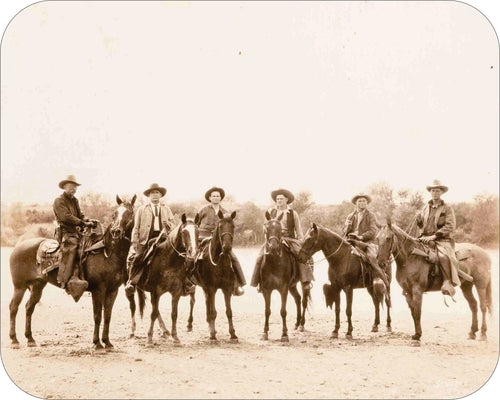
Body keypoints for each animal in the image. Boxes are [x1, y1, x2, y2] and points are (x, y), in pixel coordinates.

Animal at [10, 195, 137, 350]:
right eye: (114, 214)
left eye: (130, 213)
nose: (116, 232)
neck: (108, 253)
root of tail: (17, 247)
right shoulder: (98, 290)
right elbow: (97, 316)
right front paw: (97, 343)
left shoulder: (113, 290)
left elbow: (107, 316)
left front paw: (107, 342)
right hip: (19, 287)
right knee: (13, 308)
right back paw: (14, 340)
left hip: (37, 286)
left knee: (29, 307)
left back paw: (30, 339)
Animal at [126, 212, 200, 346]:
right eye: (184, 232)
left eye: (197, 231)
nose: (193, 254)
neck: (170, 261)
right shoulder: (156, 291)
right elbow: (153, 314)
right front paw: (149, 338)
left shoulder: (176, 292)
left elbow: (173, 314)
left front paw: (175, 337)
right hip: (130, 287)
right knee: (133, 306)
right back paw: (132, 331)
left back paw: (165, 331)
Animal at [194, 211, 241, 342]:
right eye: (220, 226)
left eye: (233, 226)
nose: (227, 247)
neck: (220, 262)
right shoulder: (212, 288)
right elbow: (213, 312)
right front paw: (213, 336)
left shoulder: (227, 289)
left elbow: (229, 311)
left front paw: (233, 334)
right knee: (209, 308)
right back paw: (211, 330)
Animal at [260, 211, 310, 342]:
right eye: (267, 228)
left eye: (279, 230)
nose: (273, 247)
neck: (274, 263)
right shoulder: (266, 289)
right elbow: (267, 311)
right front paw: (265, 333)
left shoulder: (283, 288)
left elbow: (283, 311)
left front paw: (284, 335)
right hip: (292, 286)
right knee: (297, 298)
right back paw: (297, 323)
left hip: (302, 284)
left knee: (303, 301)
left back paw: (302, 325)